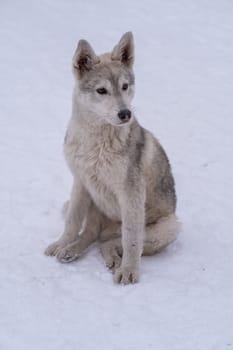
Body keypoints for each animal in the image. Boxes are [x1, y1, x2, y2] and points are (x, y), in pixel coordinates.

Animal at [45, 32, 180, 284]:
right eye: (101, 90)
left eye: (125, 87)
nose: (125, 114)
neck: (96, 145)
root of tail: (106, 229)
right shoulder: (80, 183)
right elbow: (72, 223)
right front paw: (61, 243)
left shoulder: (131, 194)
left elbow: (131, 240)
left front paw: (128, 272)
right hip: (88, 205)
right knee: (91, 234)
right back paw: (69, 251)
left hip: (169, 228)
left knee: (111, 242)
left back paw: (113, 261)